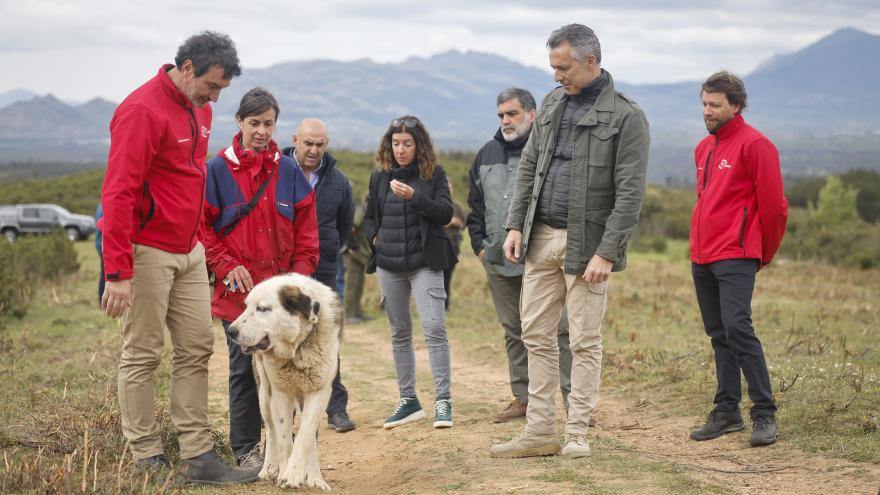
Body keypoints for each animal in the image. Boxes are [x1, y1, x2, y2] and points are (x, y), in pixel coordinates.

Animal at [225, 276, 342, 492]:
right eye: (246, 306)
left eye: (261, 309)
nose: (231, 331)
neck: (298, 349)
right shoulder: (281, 392)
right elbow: (284, 437)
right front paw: (285, 474)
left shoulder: (319, 392)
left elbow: (306, 436)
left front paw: (305, 476)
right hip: (265, 395)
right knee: (271, 431)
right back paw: (268, 469)